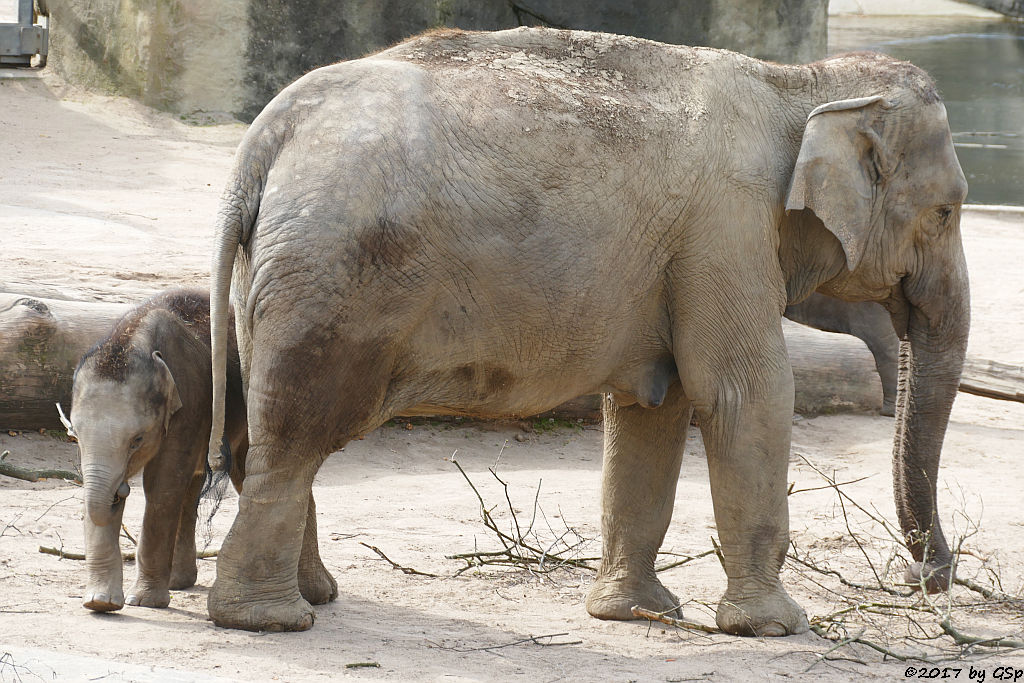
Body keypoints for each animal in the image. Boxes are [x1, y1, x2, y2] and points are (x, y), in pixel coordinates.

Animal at [72, 288, 342, 614]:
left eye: (137, 439)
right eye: (74, 435)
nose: (120, 489)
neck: (131, 337)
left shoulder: (190, 400)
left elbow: (162, 483)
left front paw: (144, 602)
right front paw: (100, 603)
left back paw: (318, 594)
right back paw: (179, 581)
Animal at [205, 26, 966, 634]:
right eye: (948, 211)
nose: (928, 577)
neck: (797, 85)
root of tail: (265, 139)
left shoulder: (685, 257)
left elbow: (653, 408)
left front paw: (634, 612)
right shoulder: (726, 231)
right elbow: (743, 395)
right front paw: (775, 627)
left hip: (275, 274)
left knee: (271, 434)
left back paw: (315, 595)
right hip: (333, 274)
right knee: (295, 435)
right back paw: (271, 618)